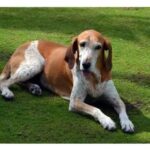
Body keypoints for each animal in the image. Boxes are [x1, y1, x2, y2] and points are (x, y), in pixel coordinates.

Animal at [0, 29, 134, 132]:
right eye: (82, 44)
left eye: (98, 47)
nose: (85, 64)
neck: (94, 77)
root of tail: (21, 46)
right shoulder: (75, 102)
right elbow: (96, 109)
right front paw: (107, 120)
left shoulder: (115, 99)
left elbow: (122, 106)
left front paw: (127, 122)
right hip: (36, 64)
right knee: (5, 82)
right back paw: (7, 92)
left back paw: (34, 87)